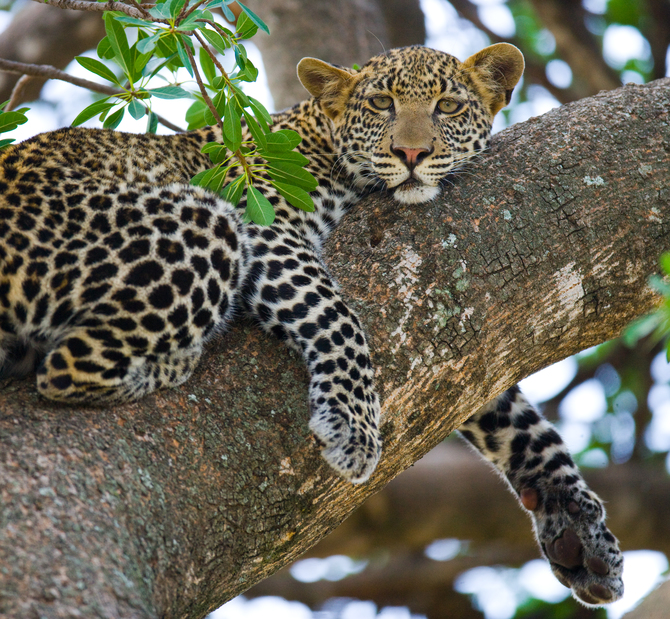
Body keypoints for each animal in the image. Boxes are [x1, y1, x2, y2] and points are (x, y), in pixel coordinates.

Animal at [0, 46, 628, 608]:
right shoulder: (263, 218)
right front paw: (353, 427)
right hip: (204, 218)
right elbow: (333, 314)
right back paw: (173, 361)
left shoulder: (471, 355)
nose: (411, 152)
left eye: (448, 106)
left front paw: (581, 529)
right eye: (380, 103)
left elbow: (515, 416)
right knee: (65, 369)